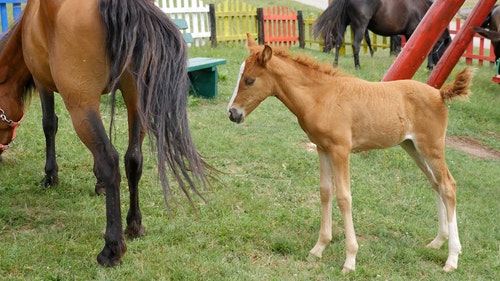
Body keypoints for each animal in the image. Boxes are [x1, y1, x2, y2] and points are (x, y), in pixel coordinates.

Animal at [0, 0, 209, 266]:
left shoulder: (42, 82)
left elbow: (49, 124)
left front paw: (50, 177)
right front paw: (98, 183)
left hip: (80, 104)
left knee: (110, 159)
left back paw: (112, 248)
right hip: (135, 99)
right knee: (133, 159)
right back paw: (134, 225)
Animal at [229, 32, 474, 272]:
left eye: (249, 80)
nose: (232, 113)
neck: (321, 96)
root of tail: (439, 94)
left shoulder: (341, 150)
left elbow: (344, 197)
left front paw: (350, 259)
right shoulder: (323, 148)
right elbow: (325, 192)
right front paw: (319, 248)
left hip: (431, 147)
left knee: (448, 186)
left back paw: (452, 258)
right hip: (412, 146)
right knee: (436, 184)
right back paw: (438, 241)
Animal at [316, 0, 454, 69]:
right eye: (445, 49)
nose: (439, 66)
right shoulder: (414, 34)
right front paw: (428, 65)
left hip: (344, 24)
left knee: (339, 44)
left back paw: (335, 64)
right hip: (360, 26)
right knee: (356, 45)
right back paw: (358, 66)